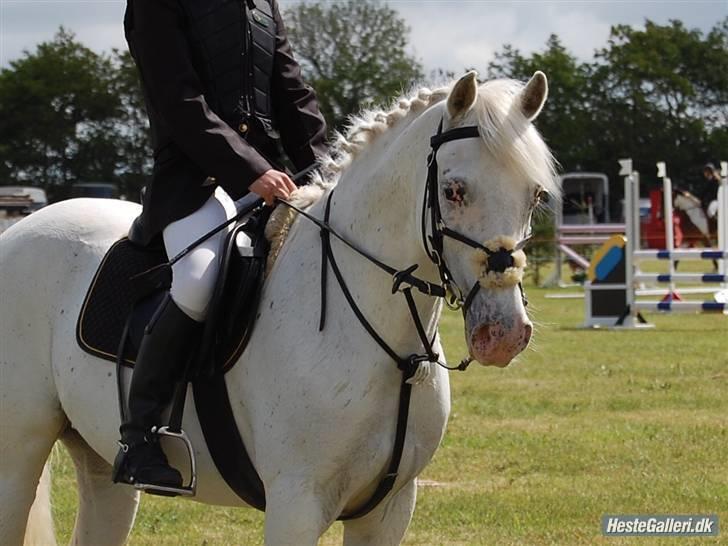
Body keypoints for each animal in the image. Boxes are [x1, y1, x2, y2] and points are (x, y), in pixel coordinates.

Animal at [0, 72, 556, 544]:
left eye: (535, 196)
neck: (391, 351)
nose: (504, 334)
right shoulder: (297, 503)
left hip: (100, 462)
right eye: (453, 190)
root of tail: (20, 228)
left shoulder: (390, 508)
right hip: (18, 453)